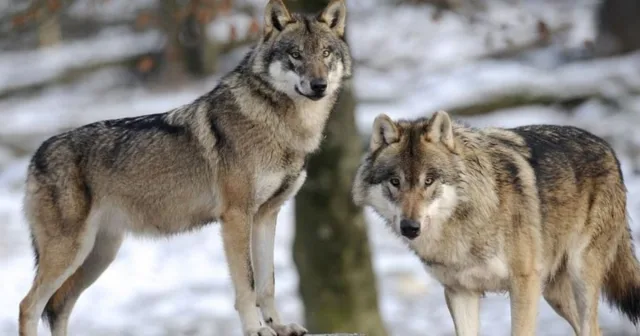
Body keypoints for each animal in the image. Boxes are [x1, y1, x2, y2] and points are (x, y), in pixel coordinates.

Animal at [16, 0, 350, 336]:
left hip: (98, 256)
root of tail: (35, 156)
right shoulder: (236, 217)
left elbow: (268, 283)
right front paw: (255, 329)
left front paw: (279, 326)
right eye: (295, 54)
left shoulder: (267, 216)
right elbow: (248, 284)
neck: (284, 128)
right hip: (71, 253)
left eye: (325, 53)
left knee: (59, 307)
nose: (318, 85)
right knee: (28, 305)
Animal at [350, 111, 640, 336]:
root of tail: (608, 148)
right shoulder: (459, 292)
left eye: (429, 181)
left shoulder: (524, 283)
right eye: (395, 182)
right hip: (553, 293)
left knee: (592, 327)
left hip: (581, 275)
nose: (410, 227)